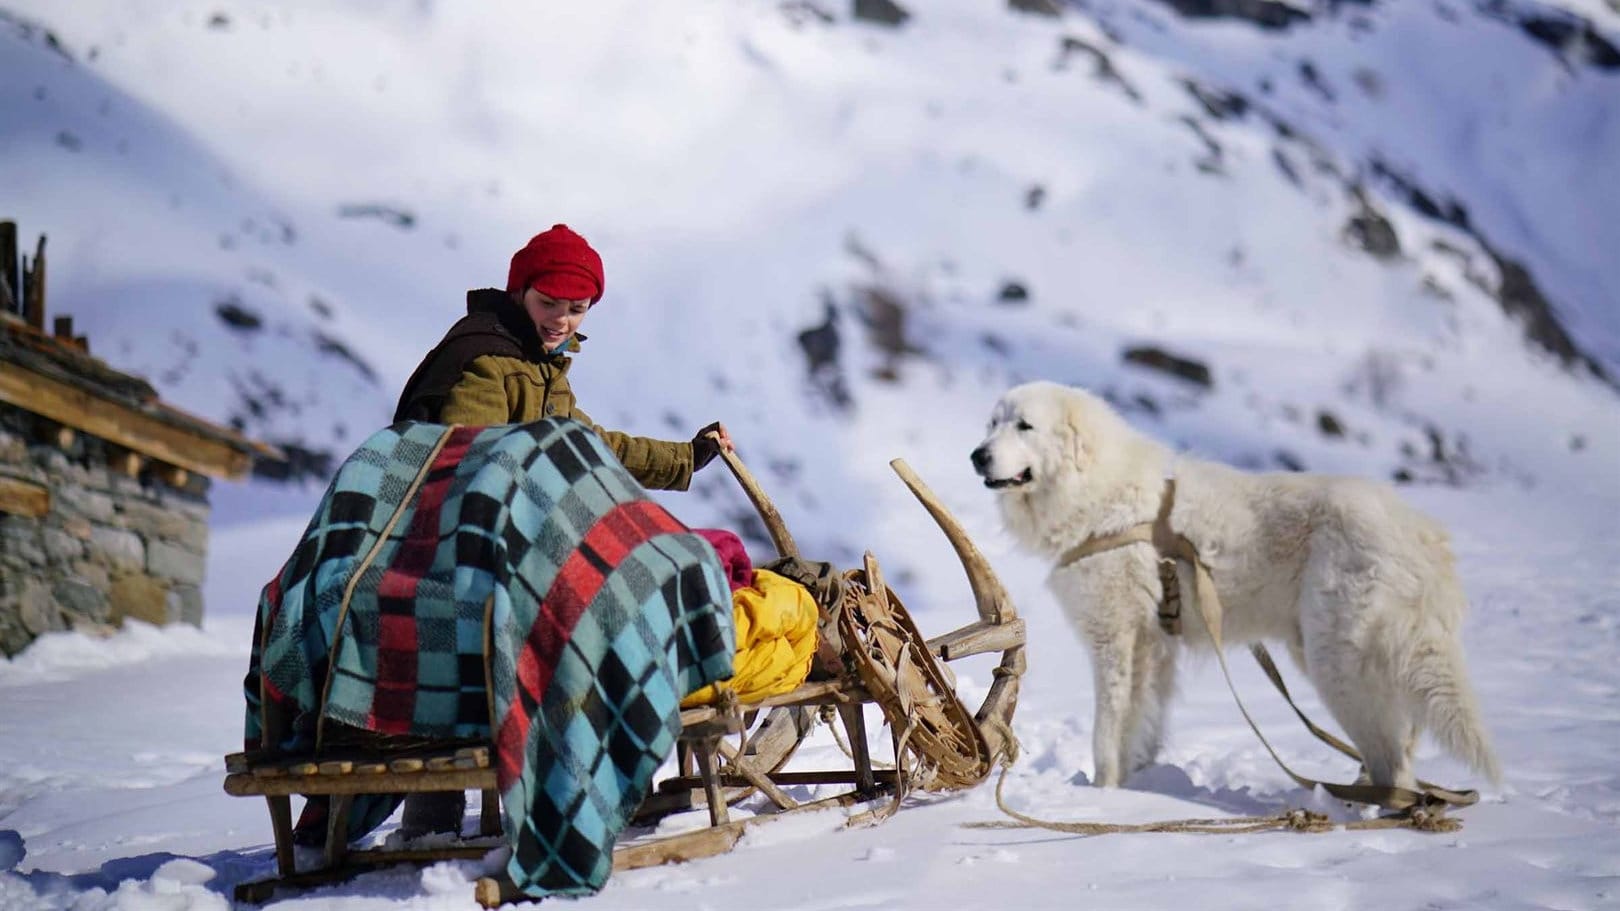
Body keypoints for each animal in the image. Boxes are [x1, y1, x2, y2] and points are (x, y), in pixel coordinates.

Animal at [965, 377, 1496, 787]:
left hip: (1338, 663)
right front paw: (1137, 786)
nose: (977, 455)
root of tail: (1423, 535)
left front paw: (1102, 792)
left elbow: (1106, 731)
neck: (1098, 494)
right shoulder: (1154, 650)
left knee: (1392, 760)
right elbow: (1143, 725)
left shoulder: (1115, 640)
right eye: (992, 423)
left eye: (1024, 426)